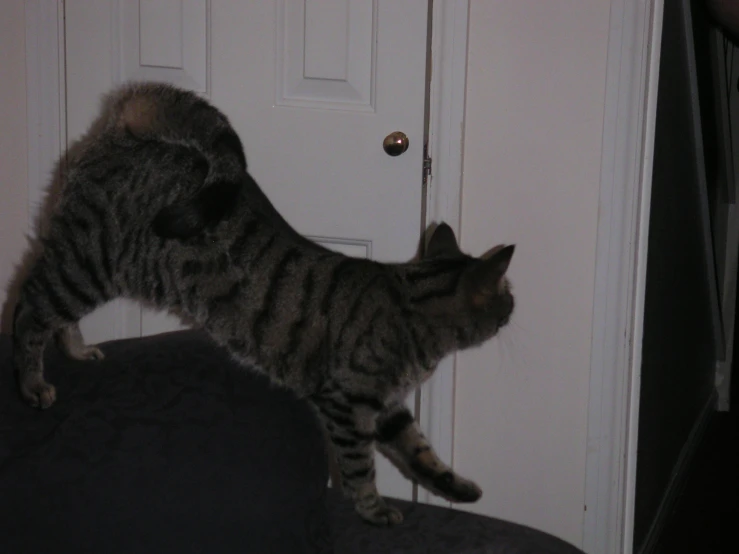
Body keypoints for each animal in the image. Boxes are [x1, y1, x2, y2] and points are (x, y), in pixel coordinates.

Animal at [14, 81, 516, 520]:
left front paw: (459, 488)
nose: (514, 309)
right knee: (29, 308)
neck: (413, 300)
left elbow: (420, 452)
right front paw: (374, 510)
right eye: (509, 294)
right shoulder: (347, 403)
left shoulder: (387, 408)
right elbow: (360, 469)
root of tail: (125, 127)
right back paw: (33, 382)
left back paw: (78, 350)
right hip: (86, 265)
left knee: (55, 314)